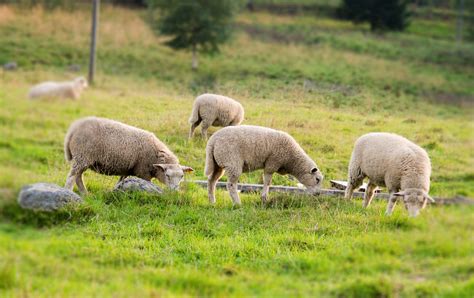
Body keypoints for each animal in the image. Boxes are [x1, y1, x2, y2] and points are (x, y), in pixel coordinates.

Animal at [64, 116, 193, 193]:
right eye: (167, 175)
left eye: (182, 176)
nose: (174, 192)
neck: (156, 156)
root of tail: (74, 128)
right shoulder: (143, 172)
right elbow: (148, 184)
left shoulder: (128, 170)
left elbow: (120, 181)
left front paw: (115, 191)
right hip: (82, 156)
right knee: (72, 177)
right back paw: (69, 191)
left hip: (83, 159)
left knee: (78, 177)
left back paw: (85, 193)